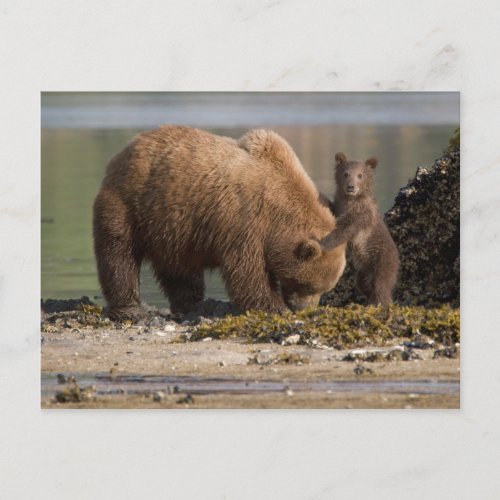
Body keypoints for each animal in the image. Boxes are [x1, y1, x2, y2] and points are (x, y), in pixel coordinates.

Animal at [93, 126, 344, 320]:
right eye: (308, 286)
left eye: (324, 289)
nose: (304, 309)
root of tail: (127, 148)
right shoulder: (244, 221)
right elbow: (247, 271)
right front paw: (273, 307)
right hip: (130, 203)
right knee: (119, 253)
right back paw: (130, 309)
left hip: (172, 227)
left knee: (179, 269)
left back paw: (192, 304)